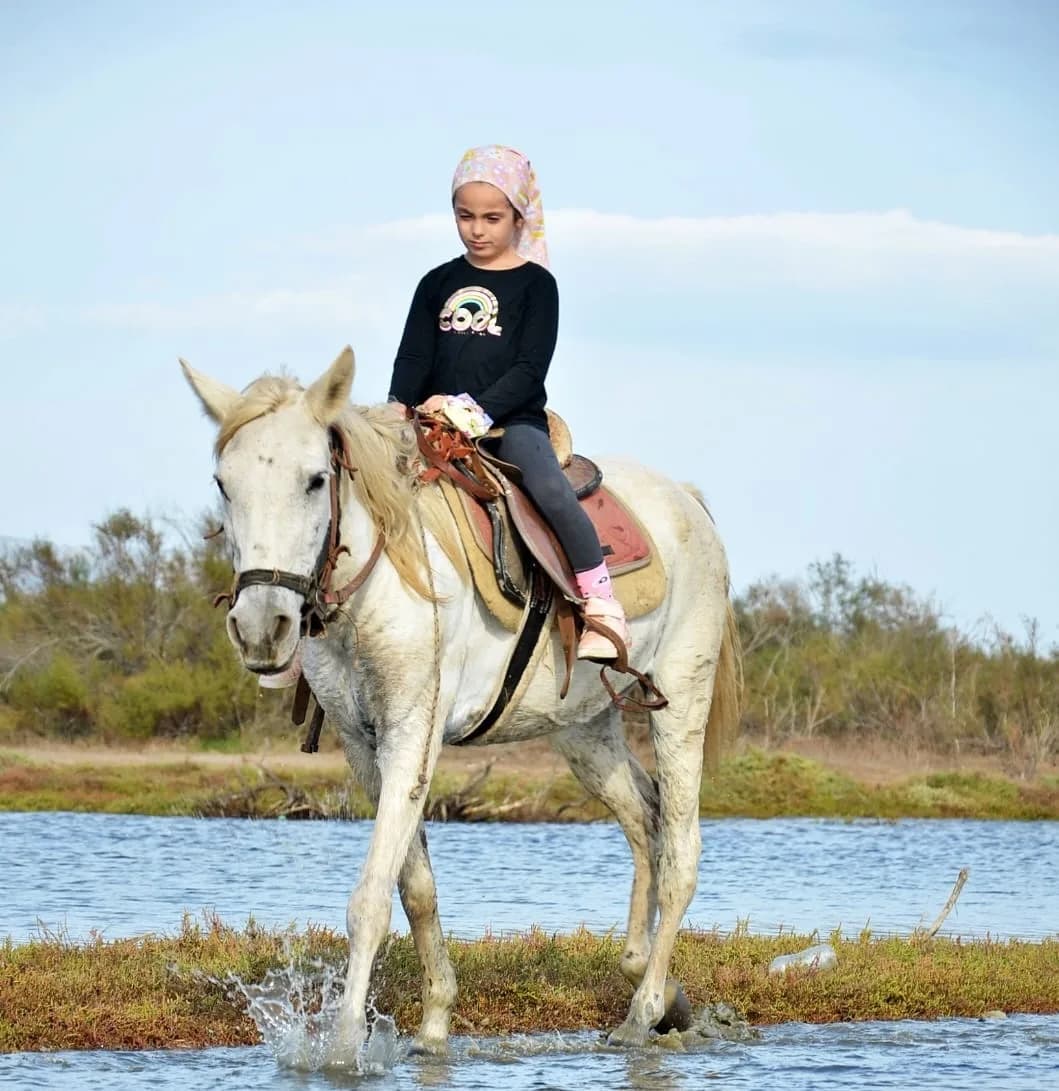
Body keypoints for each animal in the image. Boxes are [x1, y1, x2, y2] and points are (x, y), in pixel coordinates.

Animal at [180, 347, 741, 1064]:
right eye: (224, 484)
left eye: (314, 480)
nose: (260, 628)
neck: (381, 583)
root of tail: (687, 501)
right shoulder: (365, 746)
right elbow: (415, 887)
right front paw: (434, 1026)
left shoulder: (411, 734)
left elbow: (370, 898)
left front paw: (344, 1047)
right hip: (585, 731)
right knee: (644, 821)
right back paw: (655, 983)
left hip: (680, 700)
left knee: (681, 851)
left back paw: (641, 1013)